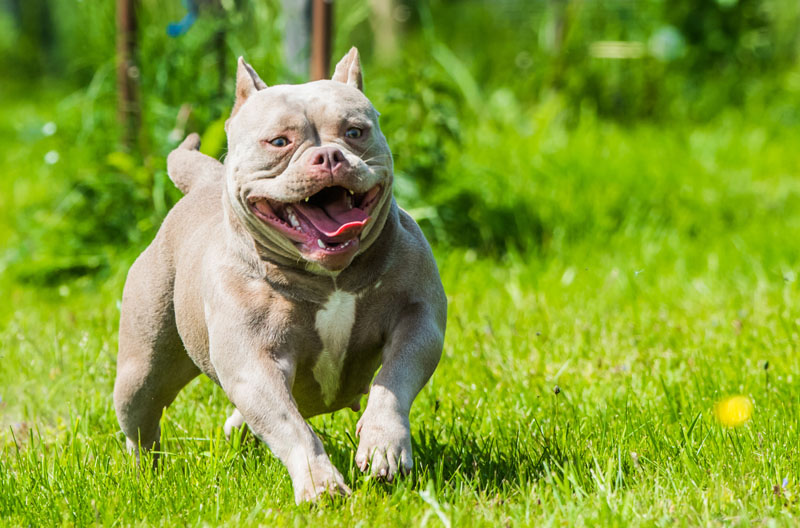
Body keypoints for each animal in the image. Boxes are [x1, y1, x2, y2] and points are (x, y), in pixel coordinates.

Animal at [112, 49, 446, 504]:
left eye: (355, 132)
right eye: (279, 142)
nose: (330, 156)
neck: (330, 278)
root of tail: (204, 182)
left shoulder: (419, 321)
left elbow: (394, 379)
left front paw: (383, 443)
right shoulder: (254, 363)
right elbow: (293, 428)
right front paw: (321, 484)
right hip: (141, 371)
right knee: (141, 424)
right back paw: (145, 477)